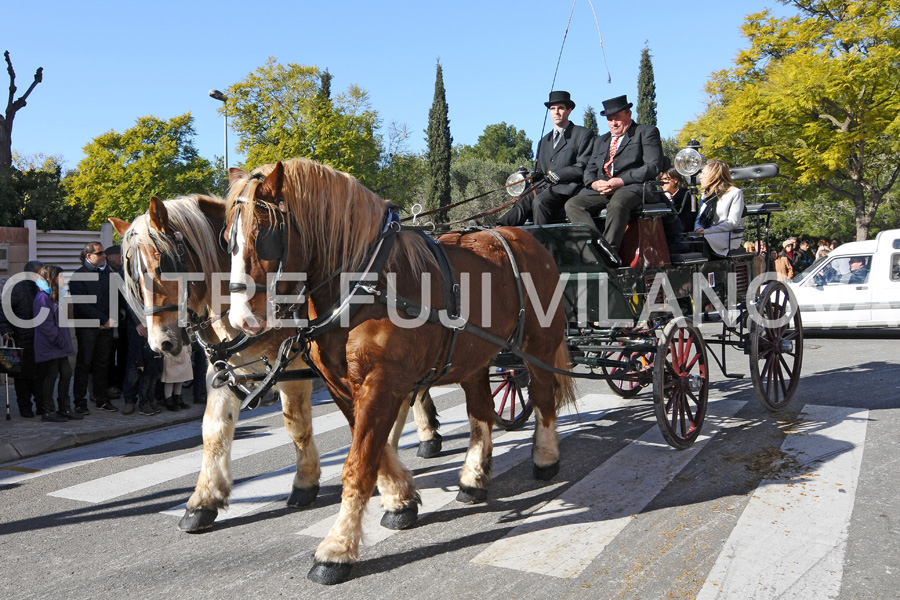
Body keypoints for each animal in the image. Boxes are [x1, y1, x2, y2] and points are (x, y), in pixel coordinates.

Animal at [109, 196, 442, 536]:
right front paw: (203, 502)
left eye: (165, 265)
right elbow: (213, 432)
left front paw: (307, 483)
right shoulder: (222, 372)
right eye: (134, 276)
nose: (160, 342)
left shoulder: (292, 370)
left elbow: (297, 426)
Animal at [225, 157, 576, 584]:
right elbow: (374, 453)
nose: (241, 319)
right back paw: (473, 478)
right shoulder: (344, 386)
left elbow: (359, 464)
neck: (366, 285)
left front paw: (337, 549)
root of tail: (527, 240)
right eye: (227, 240)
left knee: (542, 398)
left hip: (538, 345)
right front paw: (400, 500)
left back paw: (545, 458)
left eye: (266, 236)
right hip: (474, 355)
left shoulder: (382, 383)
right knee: (481, 414)